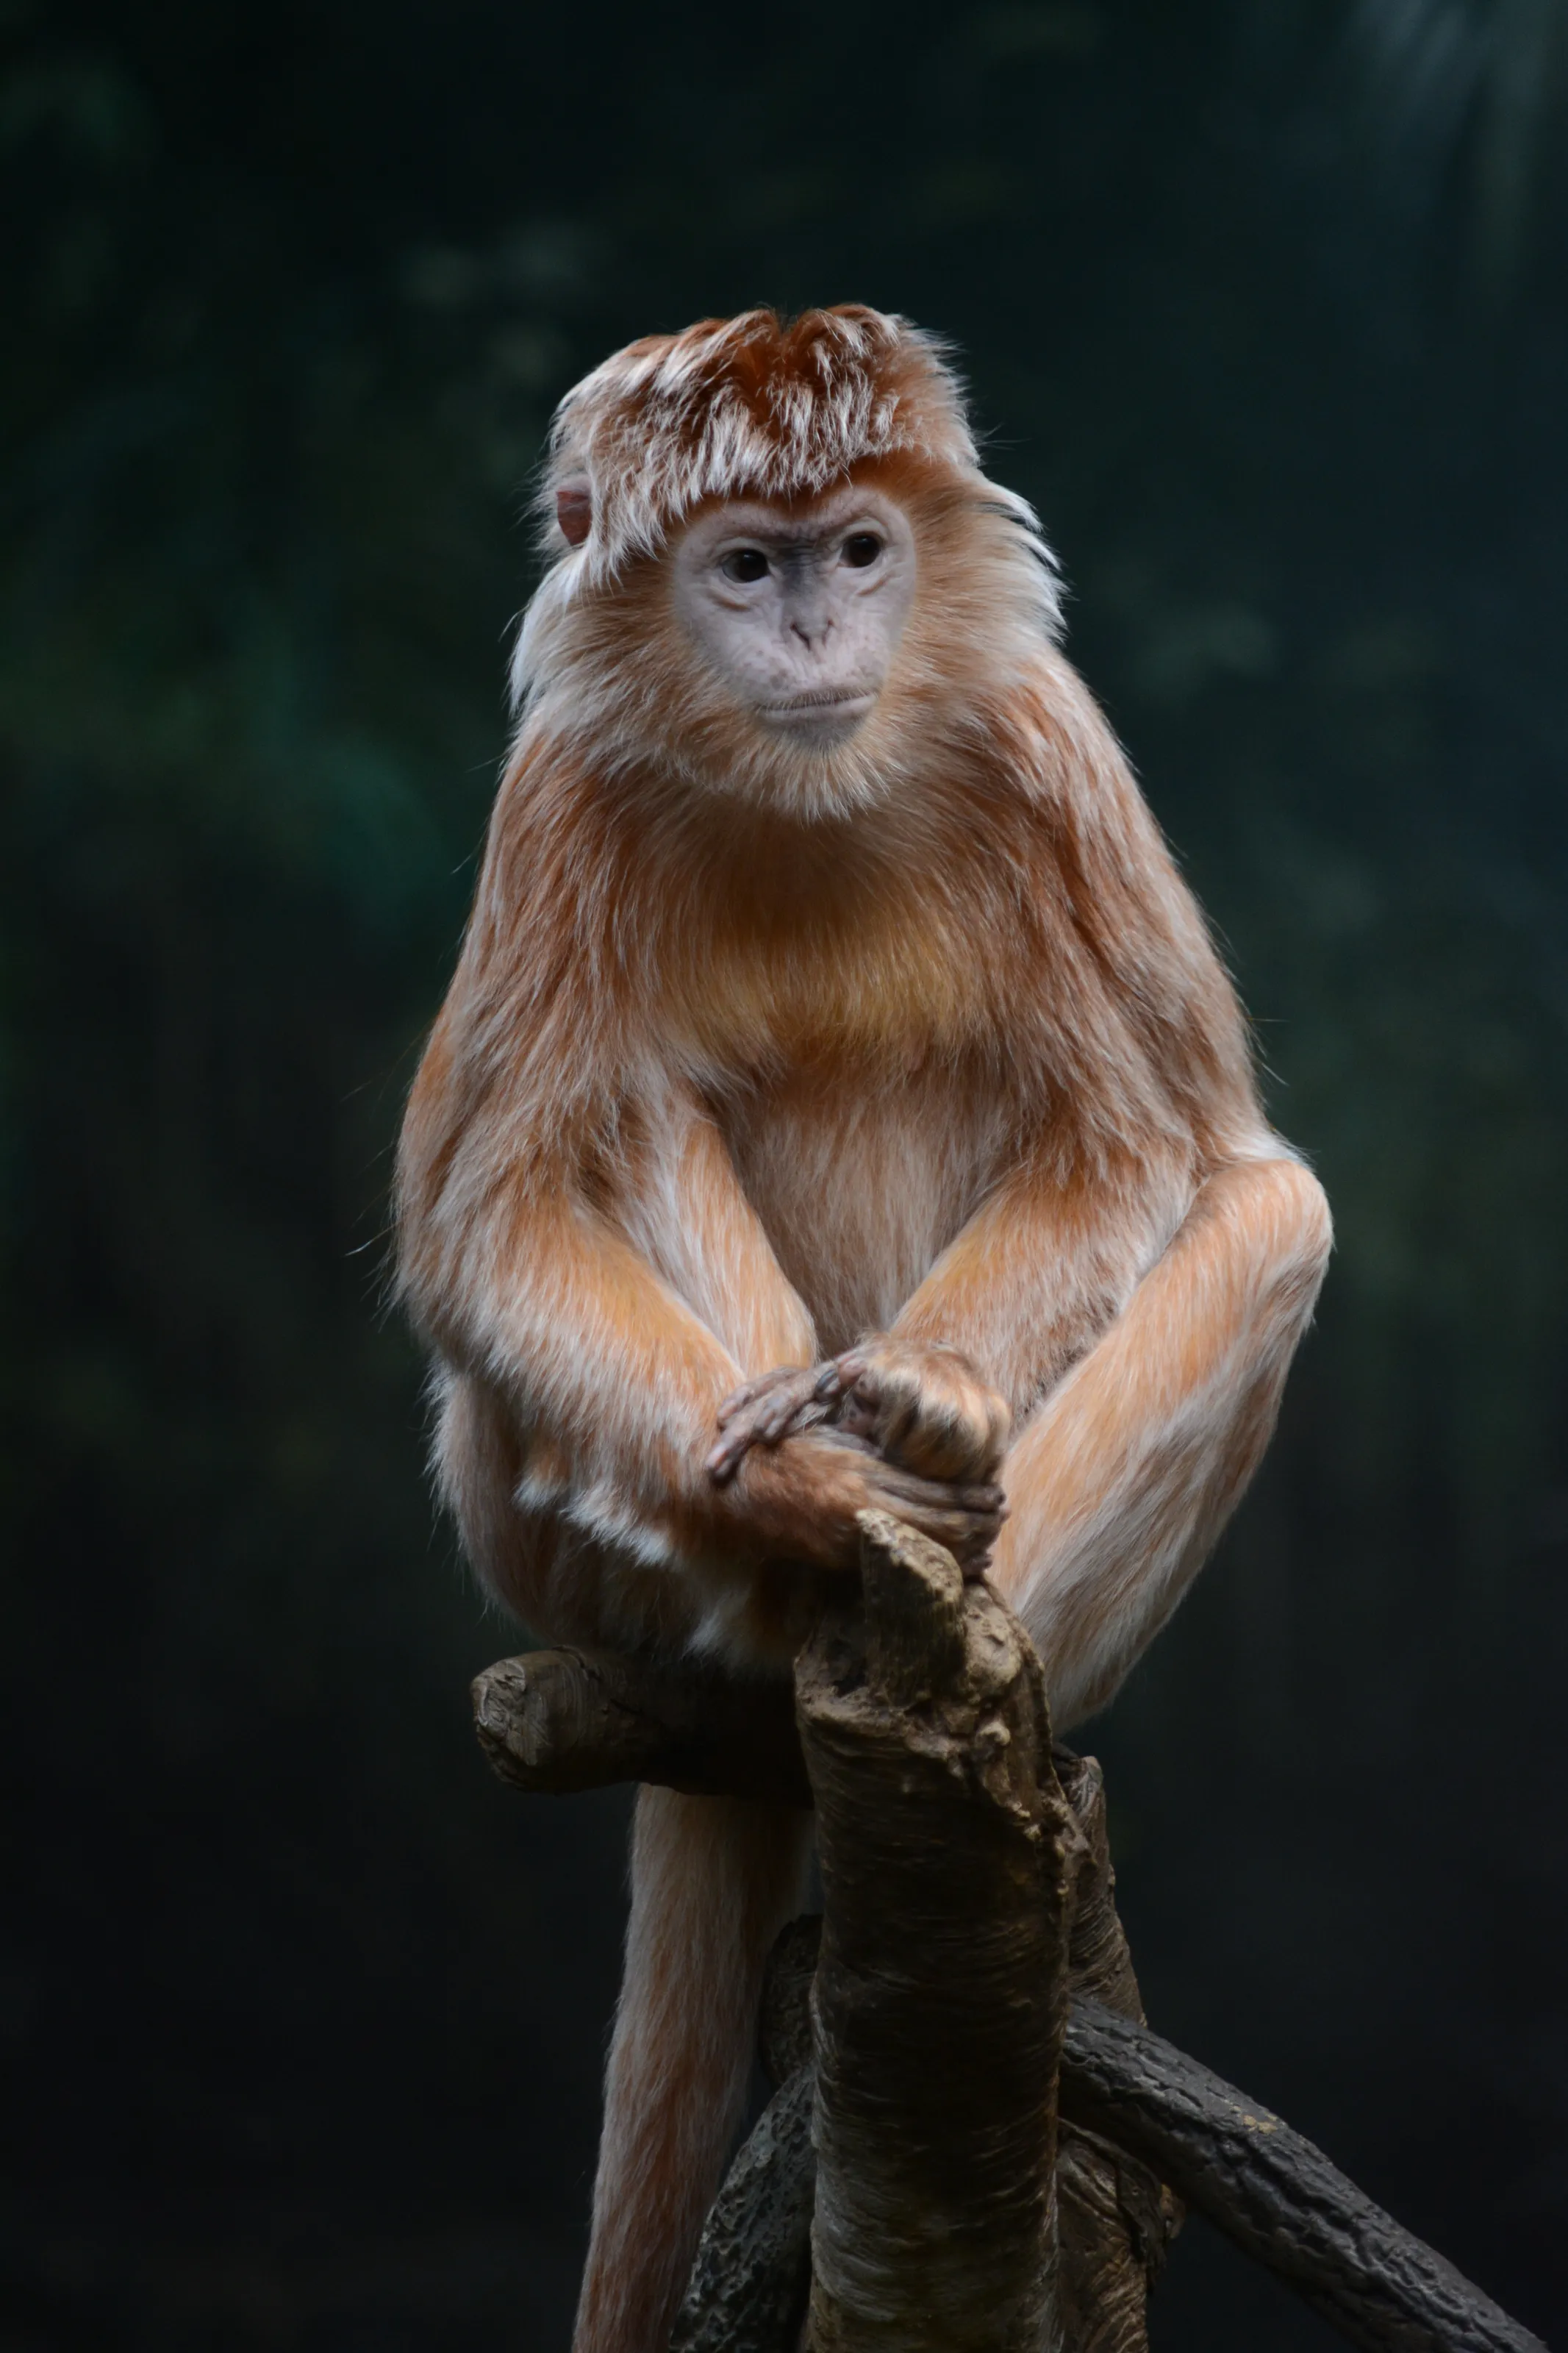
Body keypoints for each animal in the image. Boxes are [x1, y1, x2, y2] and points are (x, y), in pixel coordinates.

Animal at [395, 305, 1332, 2353]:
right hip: (539, 1550)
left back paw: (969, 1648)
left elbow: (1149, 1140)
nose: (819, 632)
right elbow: (482, 1222)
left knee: (1267, 1213)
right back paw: (802, 1563)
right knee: (628, 1112)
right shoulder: (549, 796)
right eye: (747, 568)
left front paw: (920, 1405)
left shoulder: (1050, 744)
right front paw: (813, 1489)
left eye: (858, 551)